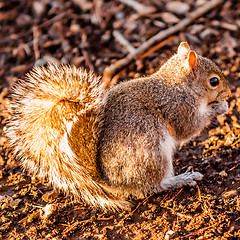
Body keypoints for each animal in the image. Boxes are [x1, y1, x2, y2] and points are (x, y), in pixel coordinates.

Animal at [5, 42, 231, 210]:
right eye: (214, 81)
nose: (228, 93)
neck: (179, 84)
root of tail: (110, 182)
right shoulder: (179, 107)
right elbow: (189, 128)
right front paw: (220, 107)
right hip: (152, 153)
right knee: (154, 185)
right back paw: (182, 178)